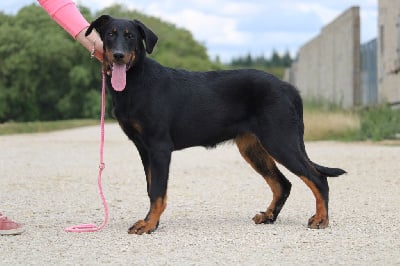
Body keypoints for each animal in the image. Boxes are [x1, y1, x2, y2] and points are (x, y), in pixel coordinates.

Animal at [86, 15, 344, 234]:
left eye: (130, 36)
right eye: (110, 34)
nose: (118, 55)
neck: (135, 81)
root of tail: (289, 88)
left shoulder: (159, 147)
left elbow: (158, 191)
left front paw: (149, 224)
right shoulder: (144, 149)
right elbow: (151, 188)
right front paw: (152, 222)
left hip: (280, 140)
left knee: (317, 179)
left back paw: (321, 219)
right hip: (253, 147)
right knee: (283, 184)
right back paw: (269, 216)